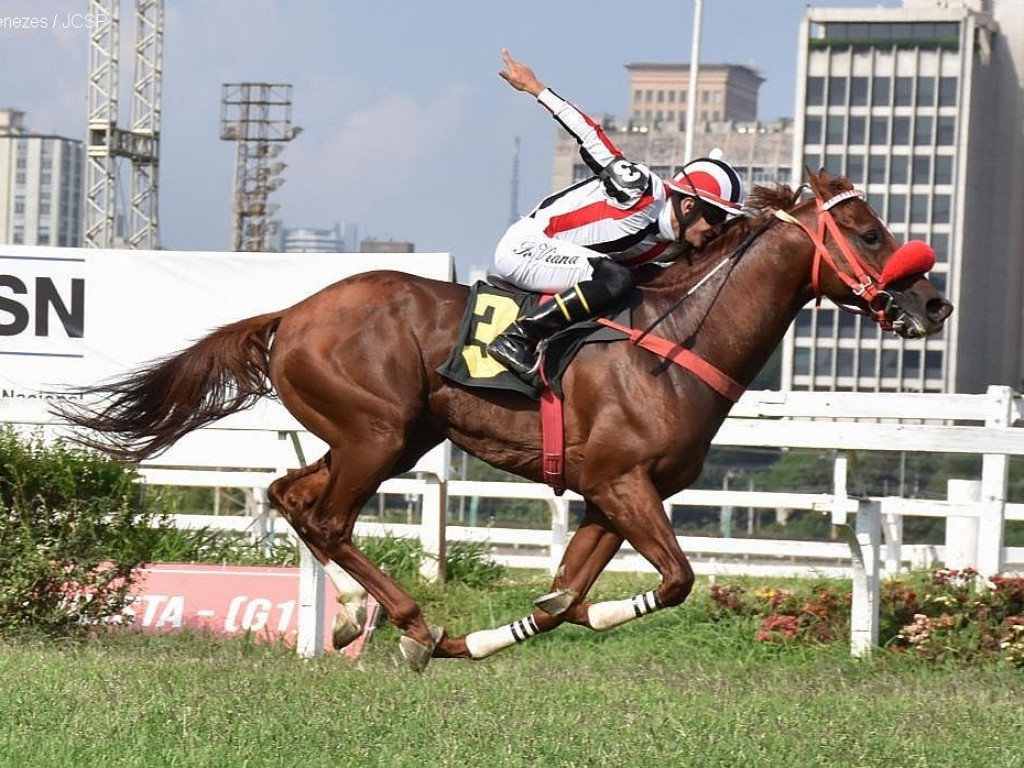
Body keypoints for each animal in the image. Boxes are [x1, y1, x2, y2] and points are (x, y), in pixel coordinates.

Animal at [56, 171, 950, 671]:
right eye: (870, 232)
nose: (933, 304)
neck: (676, 341)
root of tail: (293, 312)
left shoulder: (609, 497)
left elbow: (568, 600)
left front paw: (491, 639)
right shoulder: (622, 483)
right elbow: (673, 581)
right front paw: (464, 638)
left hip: (388, 437)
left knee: (291, 496)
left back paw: (354, 618)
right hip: (376, 435)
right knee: (327, 516)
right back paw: (409, 624)